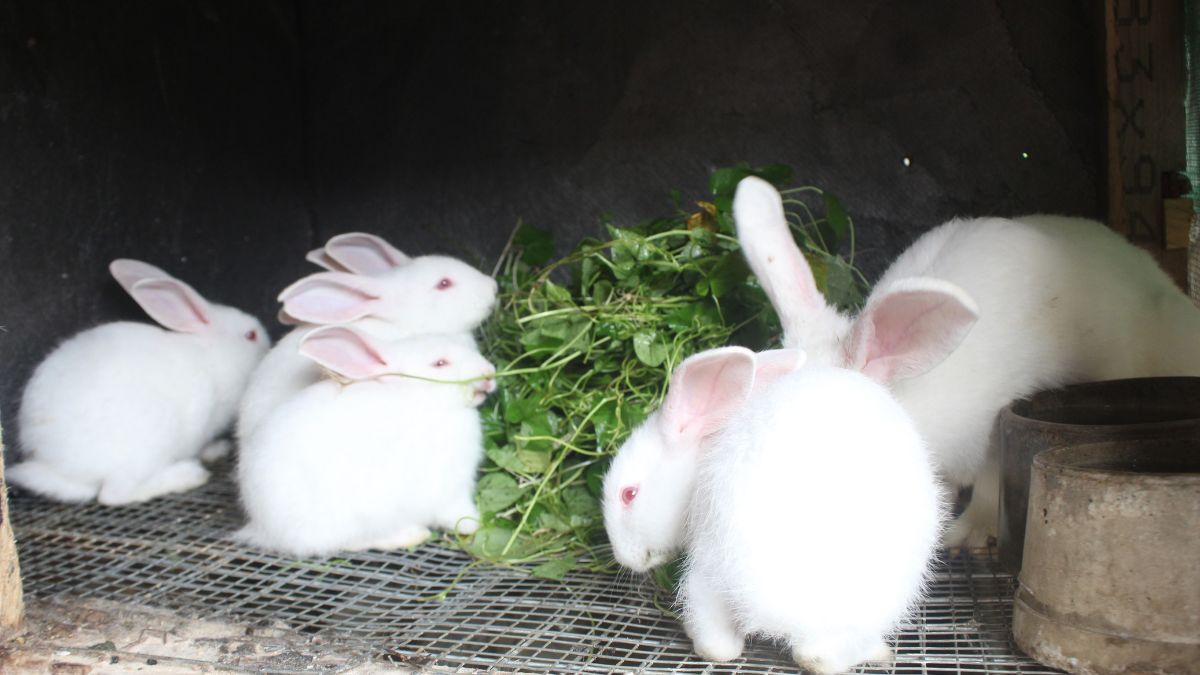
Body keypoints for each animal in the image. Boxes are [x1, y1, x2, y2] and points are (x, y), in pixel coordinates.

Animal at [8, 259, 269, 505]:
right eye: (250, 335)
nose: (266, 343)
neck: (212, 349)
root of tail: (55, 468)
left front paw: (216, 449)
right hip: (147, 448)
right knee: (113, 494)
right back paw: (187, 475)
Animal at [235, 325, 496, 557]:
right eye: (440, 363)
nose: (489, 372)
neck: (420, 398)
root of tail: (262, 527)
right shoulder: (449, 489)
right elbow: (457, 513)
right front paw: (475, 524)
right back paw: (411, 535)